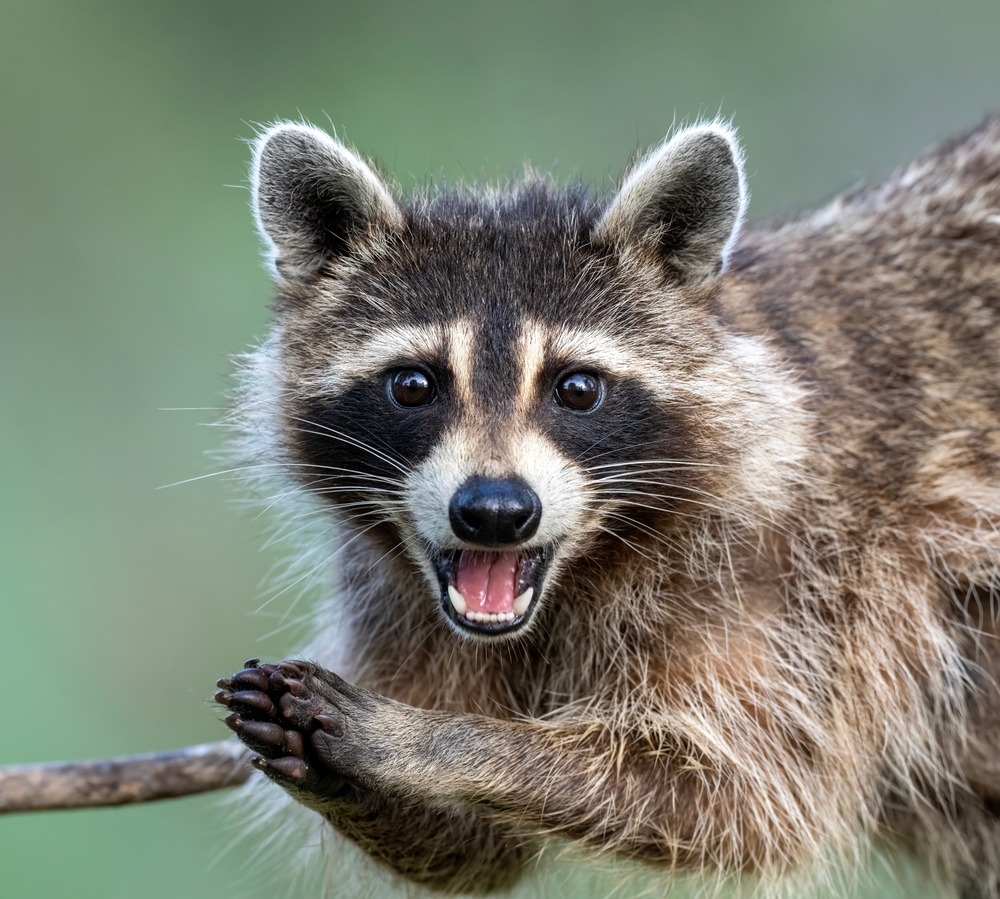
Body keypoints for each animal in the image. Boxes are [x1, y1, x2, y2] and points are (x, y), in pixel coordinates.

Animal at [214, 117, 1000, 897]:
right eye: (412, 384)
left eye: (578, 388)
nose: (495, 511)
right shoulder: (394, 592)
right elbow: (476, 851)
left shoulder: (811, 569)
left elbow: (747, 795)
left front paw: (429, 740)